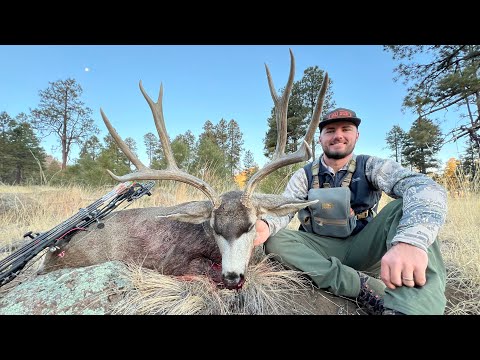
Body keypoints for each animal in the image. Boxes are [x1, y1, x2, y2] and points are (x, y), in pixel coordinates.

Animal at [38, 48, 330, 290]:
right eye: (214, 228)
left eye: (250, 226)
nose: (232, 278)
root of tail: (53, 251)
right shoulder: (171, 260)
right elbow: (198, 269)